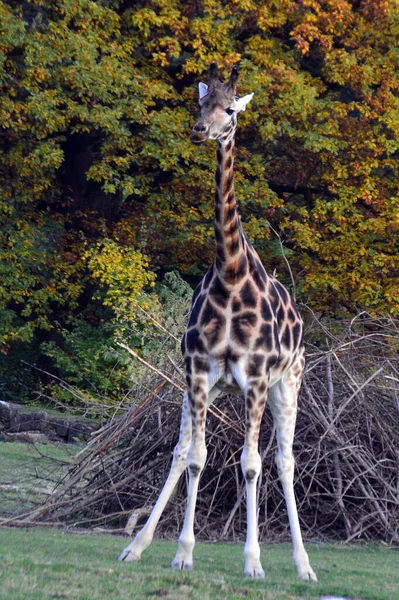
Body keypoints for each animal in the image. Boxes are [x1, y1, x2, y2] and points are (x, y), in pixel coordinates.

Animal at [119, 62, 318, 580]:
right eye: (200, 103)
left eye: (231, 109)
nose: (200, 130)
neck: (230, 272)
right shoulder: (198, 374)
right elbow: (194, 458)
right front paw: (182, 553)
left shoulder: (256, 380)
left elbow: (250, 464)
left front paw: (253, 562)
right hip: (200, 389)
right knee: (179, 452)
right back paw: (136, 546)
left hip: (288, 382)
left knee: (284, 460)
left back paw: (304, 566)